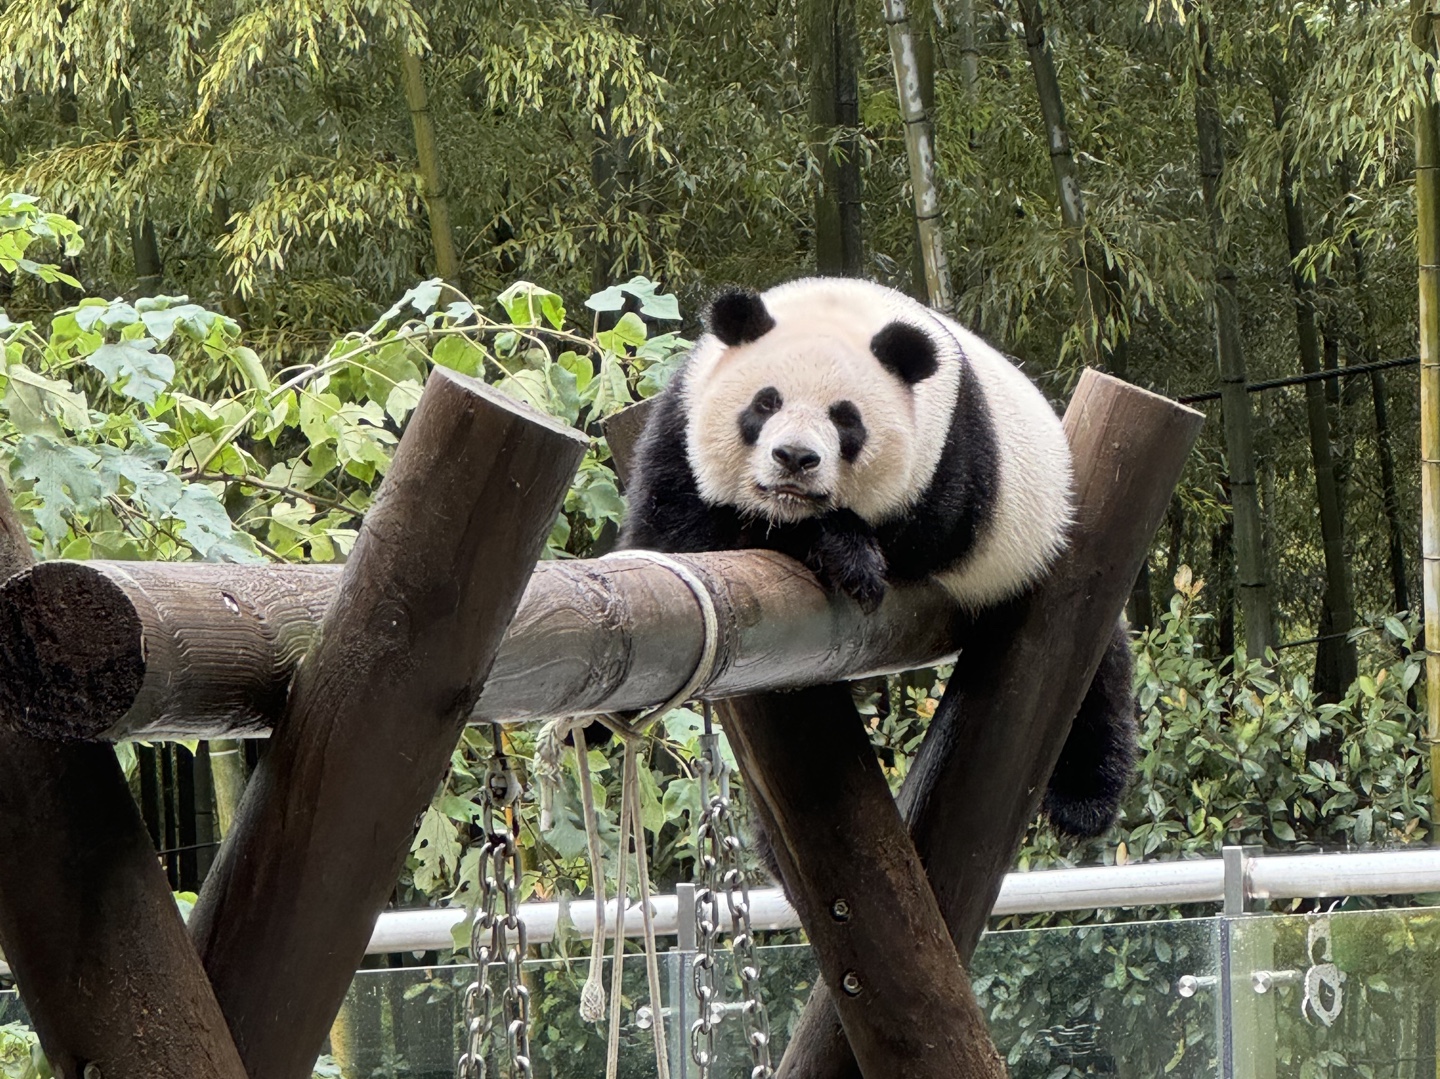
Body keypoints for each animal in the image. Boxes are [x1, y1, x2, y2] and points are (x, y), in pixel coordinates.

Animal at [613, 275, 1128, 835]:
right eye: (766, 403)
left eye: (846, 419)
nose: (795, 458)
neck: (843, 304)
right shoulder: (680, 421)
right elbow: (679, 529)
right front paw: (837, 548)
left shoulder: (949, 458)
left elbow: (922, 536)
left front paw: (844, 549)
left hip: (1043, 541)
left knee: (1096, 682)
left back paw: (1084, 803)